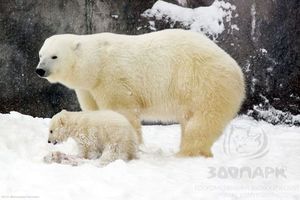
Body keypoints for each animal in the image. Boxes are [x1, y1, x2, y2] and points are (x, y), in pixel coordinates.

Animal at [36, 29, 245, 158]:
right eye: (40, 54)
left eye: (54, 56)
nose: (40, 70)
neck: (96, 62)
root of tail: (236, 69)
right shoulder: (88, 88)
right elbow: (93, 111)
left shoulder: (112, 77)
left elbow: (121, 110)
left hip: (205, 83)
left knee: (202, 122)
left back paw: (186, 152)